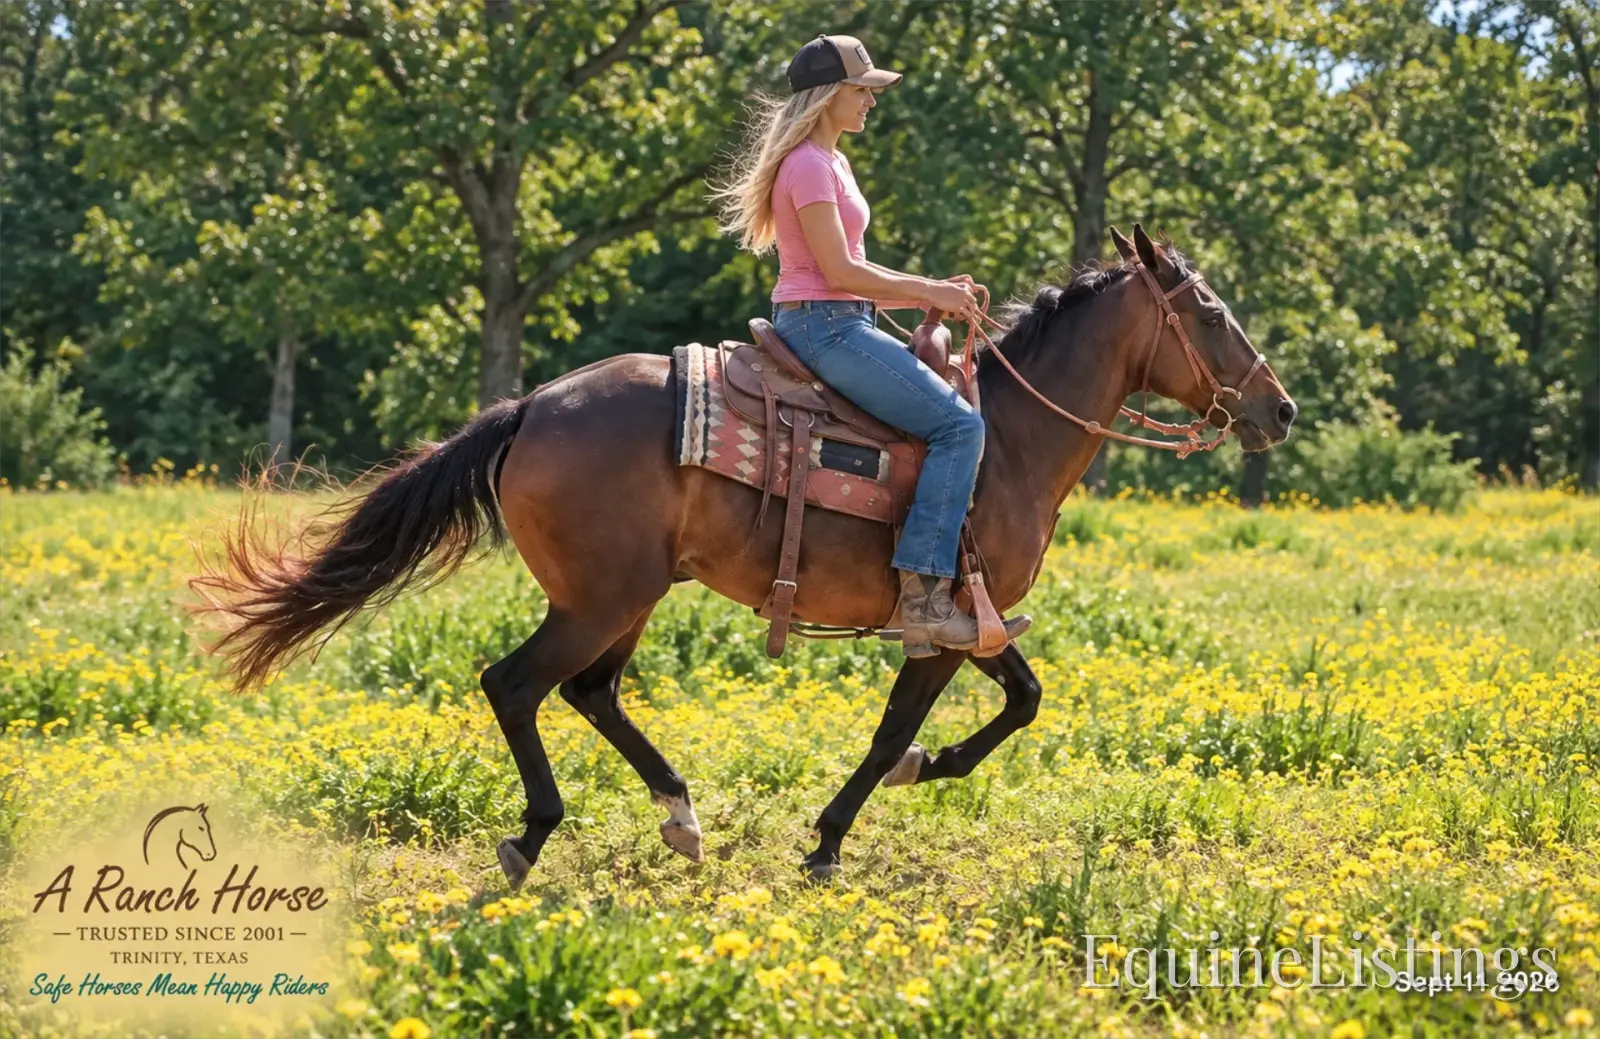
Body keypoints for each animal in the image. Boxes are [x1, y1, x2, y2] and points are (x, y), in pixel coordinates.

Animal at [192, 226, 1297, 888]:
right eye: (1209, 313)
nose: (1278, 408)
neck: (1008, 440)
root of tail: (532, 406)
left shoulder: (972, 621)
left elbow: (1019, 697)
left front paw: (904, 784)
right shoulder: (943, 625)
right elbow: (908, 730)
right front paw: (839, 834)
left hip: (627, 596)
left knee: (590, 692)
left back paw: (680, 813)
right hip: (601, 597)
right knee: (516, 682)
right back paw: (535, 832)